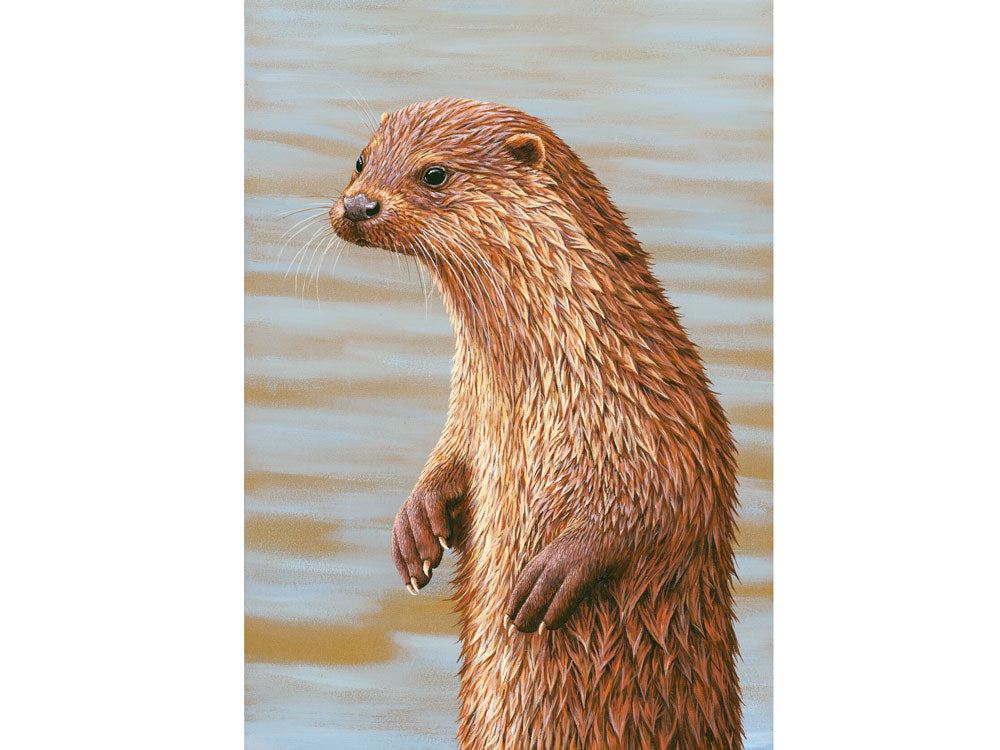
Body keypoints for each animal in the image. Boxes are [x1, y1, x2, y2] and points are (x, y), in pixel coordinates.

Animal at [330, 98, 742, 750]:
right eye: (361, 160)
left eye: (434, 173)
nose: (357, 204)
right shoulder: (469, 412)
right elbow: (449, 460)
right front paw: (416, 525)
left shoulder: (671, 424)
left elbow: (663, 503)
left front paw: (554, 571)